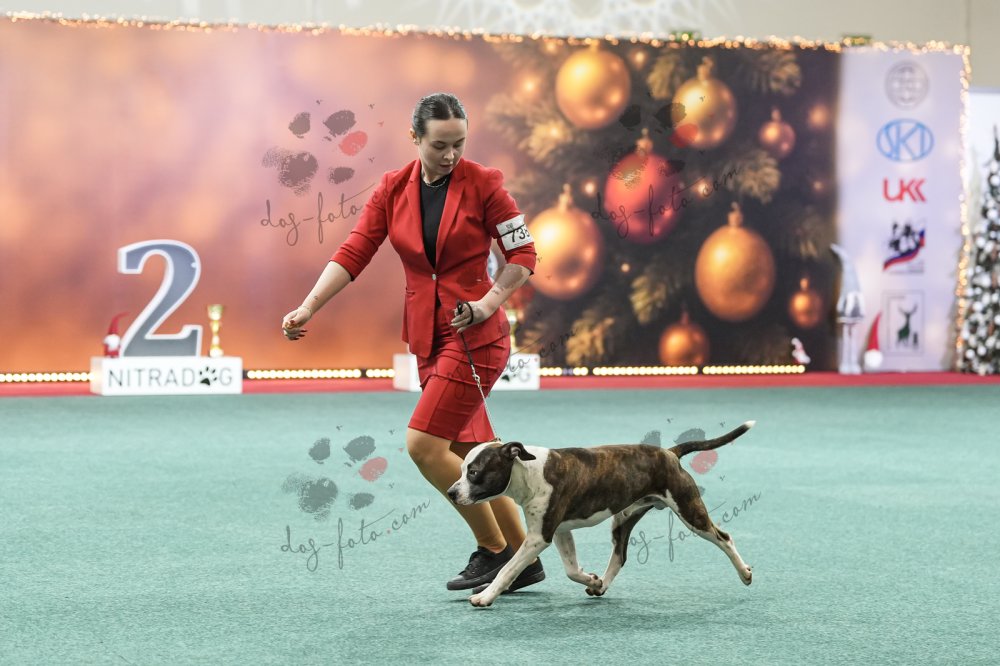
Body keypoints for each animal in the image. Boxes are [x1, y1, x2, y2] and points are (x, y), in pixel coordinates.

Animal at [446, 422, 755, 607]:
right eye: (460, 470)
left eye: (474, 473)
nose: (450, 492)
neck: (528, 471)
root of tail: (669, 453)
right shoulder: (560, 531)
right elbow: (571, 569)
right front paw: (591, 580)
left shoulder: (539, 537)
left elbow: (508, 569)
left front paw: (485, 596)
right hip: (624, 519)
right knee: (620, 556)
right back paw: (601, 586)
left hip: (689, 510)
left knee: (724, 537)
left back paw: (744, 574)